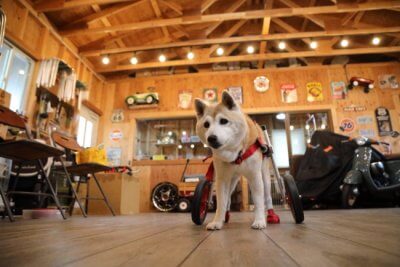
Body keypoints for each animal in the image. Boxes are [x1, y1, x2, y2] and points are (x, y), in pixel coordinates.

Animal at [194, 91, 276, 230]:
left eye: (223, 121)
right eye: (206, 125)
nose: (211, 138)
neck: (236, 154)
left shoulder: (255, 176)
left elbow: (259, 201)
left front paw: (259, 221)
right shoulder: (222, 179)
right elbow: (221, 202)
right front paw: (217, 221)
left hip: (264, 177)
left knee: (268, 197)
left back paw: (271, 215)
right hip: (231, 180)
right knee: (228, 198)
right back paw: (226, 216)